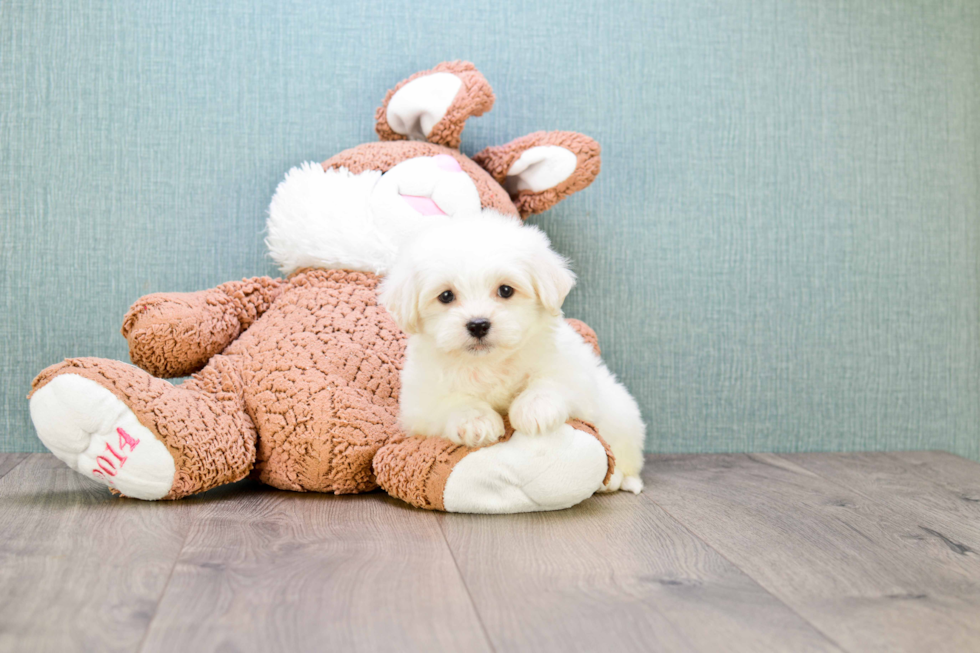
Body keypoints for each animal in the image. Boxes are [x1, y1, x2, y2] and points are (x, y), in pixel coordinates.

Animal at [378, 211, 648, 492]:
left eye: (505, 290)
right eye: (446, 296)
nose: (478, 324)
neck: (489, 362)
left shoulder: (575, 372)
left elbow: (554, 380)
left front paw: (535, 409)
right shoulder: (419, 403)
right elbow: (449, 402)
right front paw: (475, 420)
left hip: (622, 414)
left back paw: (617, 479)